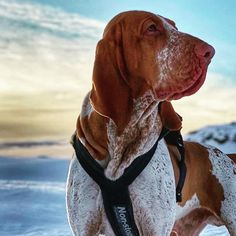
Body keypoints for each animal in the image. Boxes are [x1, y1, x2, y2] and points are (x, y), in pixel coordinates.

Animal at [66, 11, 236, 236]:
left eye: (175, 27)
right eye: (151, 28)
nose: (210, 52)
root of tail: (227, 156)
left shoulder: (155, 227)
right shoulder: (83, 227)